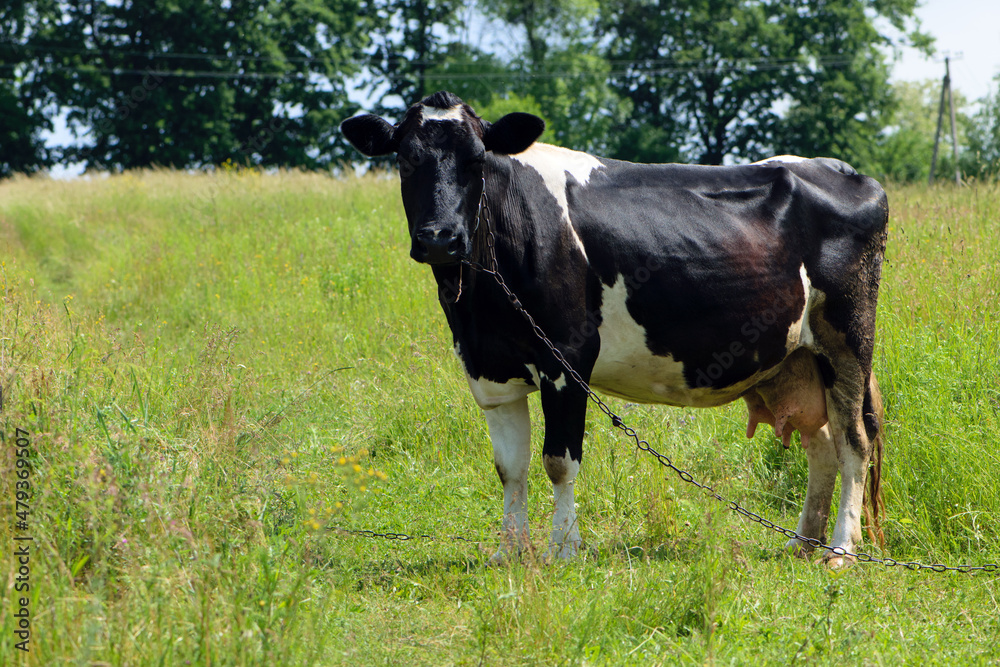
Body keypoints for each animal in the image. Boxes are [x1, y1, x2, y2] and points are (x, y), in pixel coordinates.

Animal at [340, 91, 888, 568]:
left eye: (477, 160)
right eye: (405, 159)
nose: (440, 238)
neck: (477, 300)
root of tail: (846, 172)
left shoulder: (565, 358)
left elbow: (558, 461)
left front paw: (563, 550)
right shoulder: (489, 370)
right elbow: (510, 468)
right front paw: (507, 552)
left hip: (847, 338)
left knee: (854, 441)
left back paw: (841, 549)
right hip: (793, 359)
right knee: (822, 444)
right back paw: (802, 543)